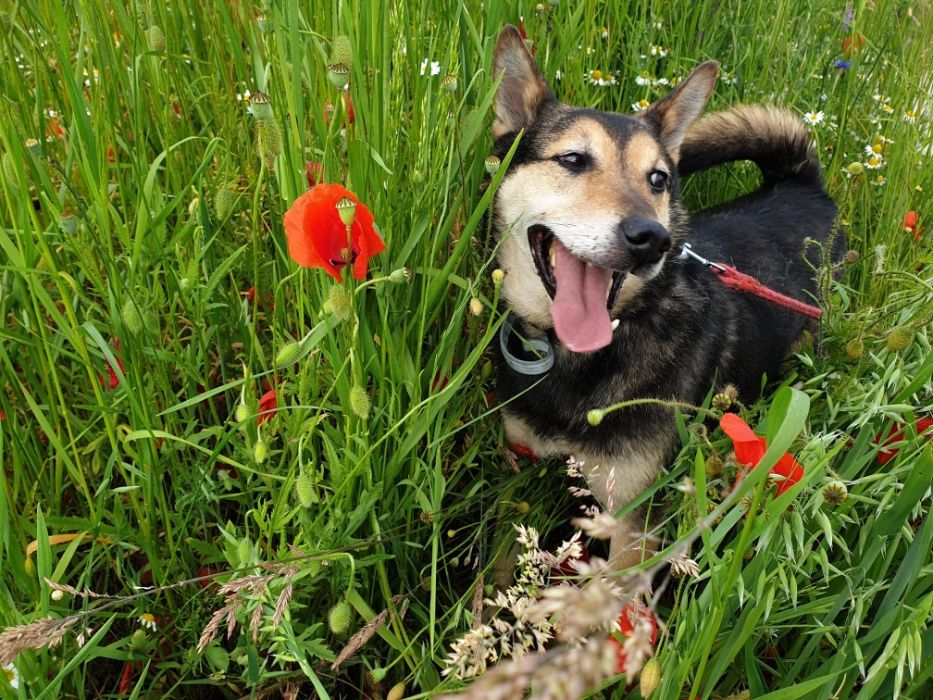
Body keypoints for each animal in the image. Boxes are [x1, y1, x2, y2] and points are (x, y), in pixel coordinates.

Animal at [492, 27, 840, 572]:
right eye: (572, 159)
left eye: (658, 178)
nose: (650, 238)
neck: (580, 359)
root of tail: (803, 184)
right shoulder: (519, 472)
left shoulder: (633, 523)